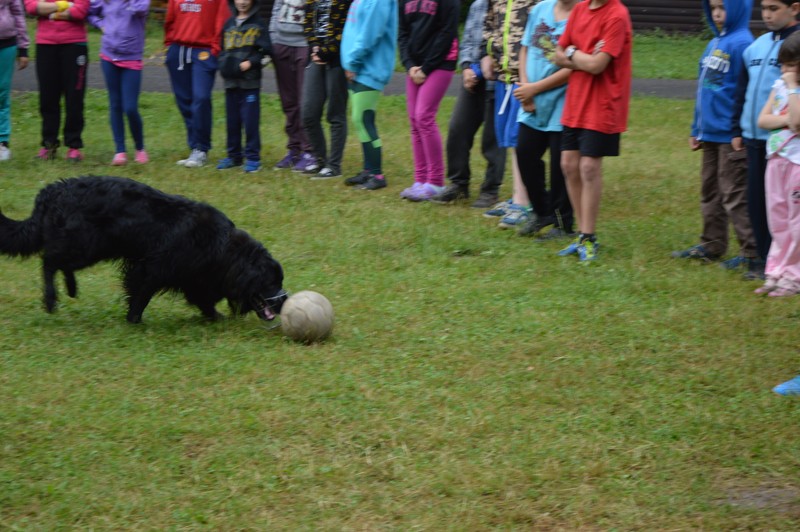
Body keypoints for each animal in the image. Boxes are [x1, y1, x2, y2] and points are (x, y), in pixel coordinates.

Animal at [0, 177, 288, 322]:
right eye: (271, 282)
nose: (284, 300)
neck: (223, 247)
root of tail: (52, 191)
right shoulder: (151, 268)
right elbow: (141, 294)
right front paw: (133, 319)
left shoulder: (195, 277)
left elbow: (202, 299)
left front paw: (215, 317)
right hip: (85, 244)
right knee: (49, 261)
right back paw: (51, 299)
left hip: (87, 246)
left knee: (60, 262)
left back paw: (71, 288)